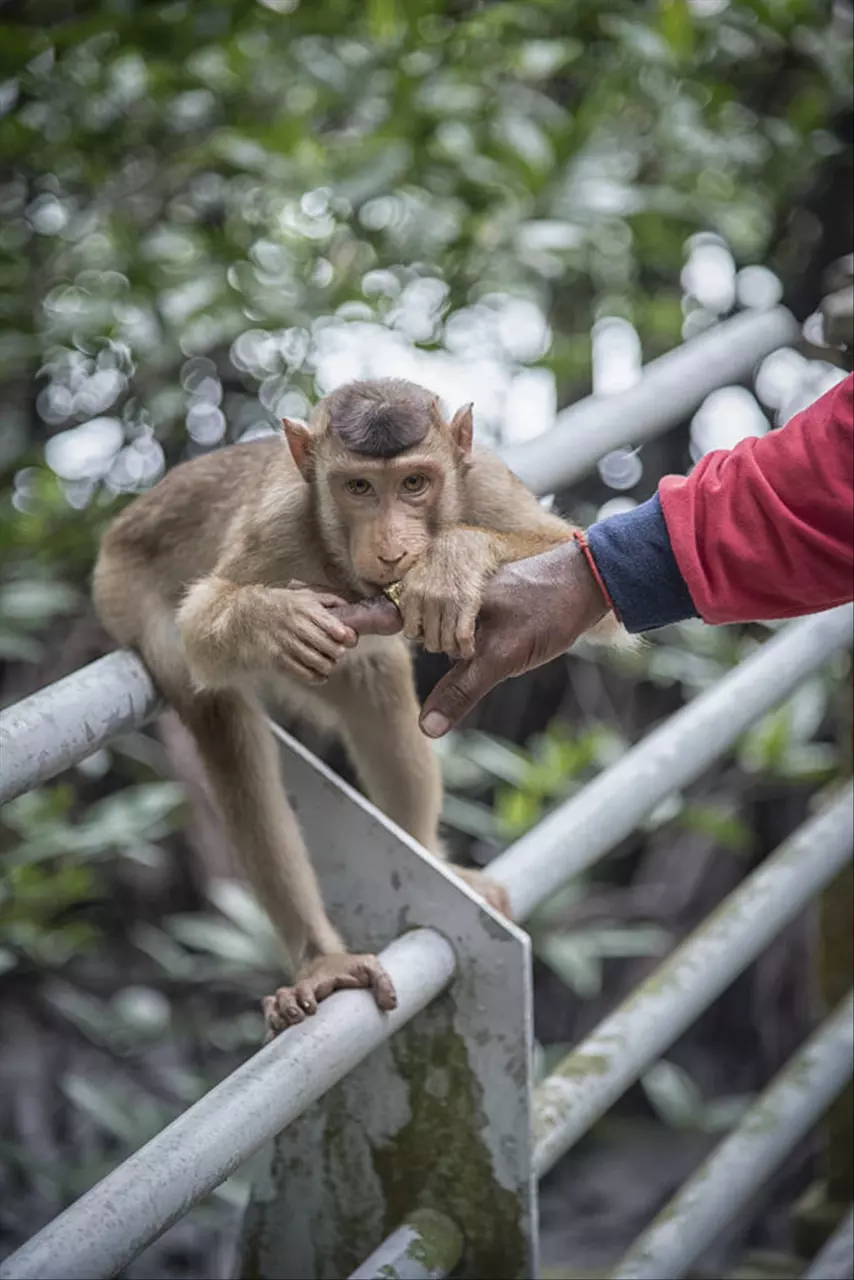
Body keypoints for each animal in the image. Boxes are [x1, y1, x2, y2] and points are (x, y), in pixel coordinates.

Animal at [93, 373, 624, 1034]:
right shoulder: (279, 522)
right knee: (218, 716)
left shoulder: (487, 483)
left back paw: (427, 856)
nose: (393, 549)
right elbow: (201, 617)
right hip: (121, 587)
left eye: (415, 483)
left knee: (377, 684)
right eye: (359, 488)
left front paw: (454, 560)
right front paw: (273, 620)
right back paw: (321, 960)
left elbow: (584, 581)